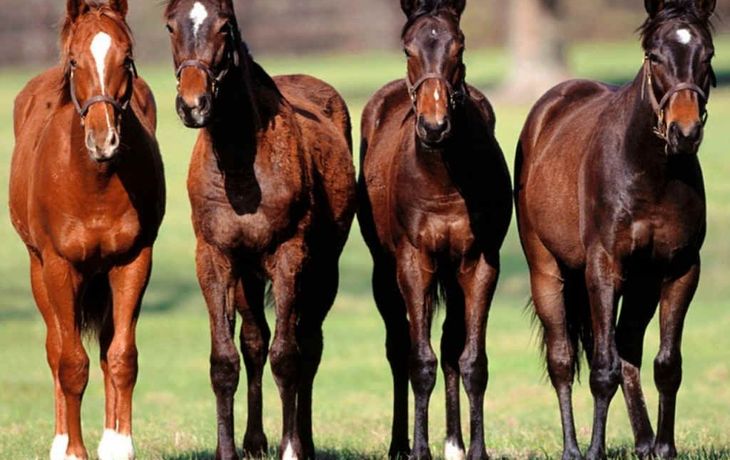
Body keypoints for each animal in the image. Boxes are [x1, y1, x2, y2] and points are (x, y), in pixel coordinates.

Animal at [8, 1, 165, 459]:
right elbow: (70, 362)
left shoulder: (133, 262)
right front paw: (74, 450)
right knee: (55, 348)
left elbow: (122, 357)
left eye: (127, 58)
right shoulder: (60, 267)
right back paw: (60, 441)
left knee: (108, 348)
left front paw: (119, 445)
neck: (93, 181)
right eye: (75, 61)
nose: (103, 140)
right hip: (39, 270)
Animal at [163, 0, 357, 458]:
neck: (239, 166)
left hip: (323, 270)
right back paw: (254, 441)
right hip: (248, 276)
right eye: (170, 26)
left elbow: (286, 355)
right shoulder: (215, 259)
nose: (193, 104)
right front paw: (228, 449)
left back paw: (304, 440)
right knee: (254, 341)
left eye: (225, 26)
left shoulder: (289, 256)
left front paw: (290, 448)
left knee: (309, 344)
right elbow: (226, 359)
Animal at [358, 0, 512, 458]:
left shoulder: (480, 263)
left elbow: (471, 360)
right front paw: (419, 448)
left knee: (449, 347)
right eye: (408, 49)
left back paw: (454, 443)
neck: (443, 176)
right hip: (384, 271)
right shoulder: (414, 262)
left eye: (459, 47)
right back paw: (399, 443)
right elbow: (418, 360)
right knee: (398, 347)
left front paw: (475, 449)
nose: (433, 126)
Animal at [514, 0, 716, 458]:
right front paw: (594, 451)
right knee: (563, 359)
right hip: (547, 271)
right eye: (653, 56)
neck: (651, 172)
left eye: (708, 54)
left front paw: (664, 448)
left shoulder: (680, 270)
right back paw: (573, 448)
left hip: (641, 284)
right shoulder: (604, 269)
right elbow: (600, 369)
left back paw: (643, 442)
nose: (685, 133)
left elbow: (666, 365)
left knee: (628, 351)